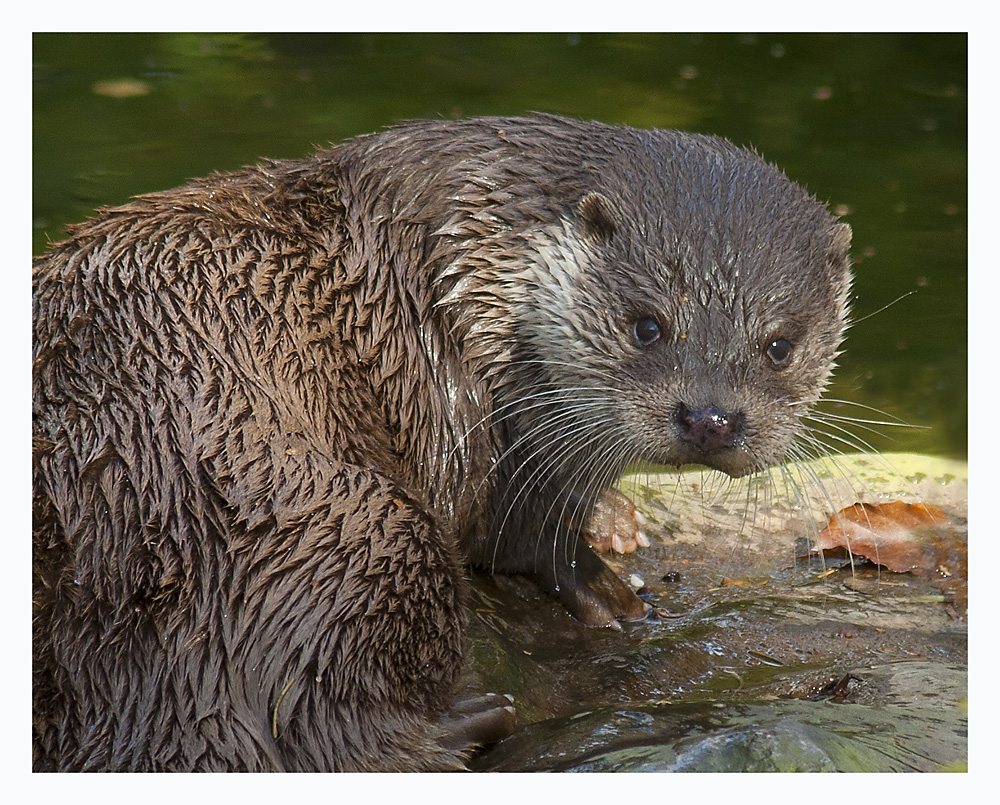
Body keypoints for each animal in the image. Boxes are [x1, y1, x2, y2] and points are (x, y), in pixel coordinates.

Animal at [35, 114, 856, 772]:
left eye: (779, 345)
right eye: (647, 324)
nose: (711, 418)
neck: (483, 260)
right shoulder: (491, 413)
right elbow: (516, 534)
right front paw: (605, 586)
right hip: (351, 526)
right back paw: (467, 723)